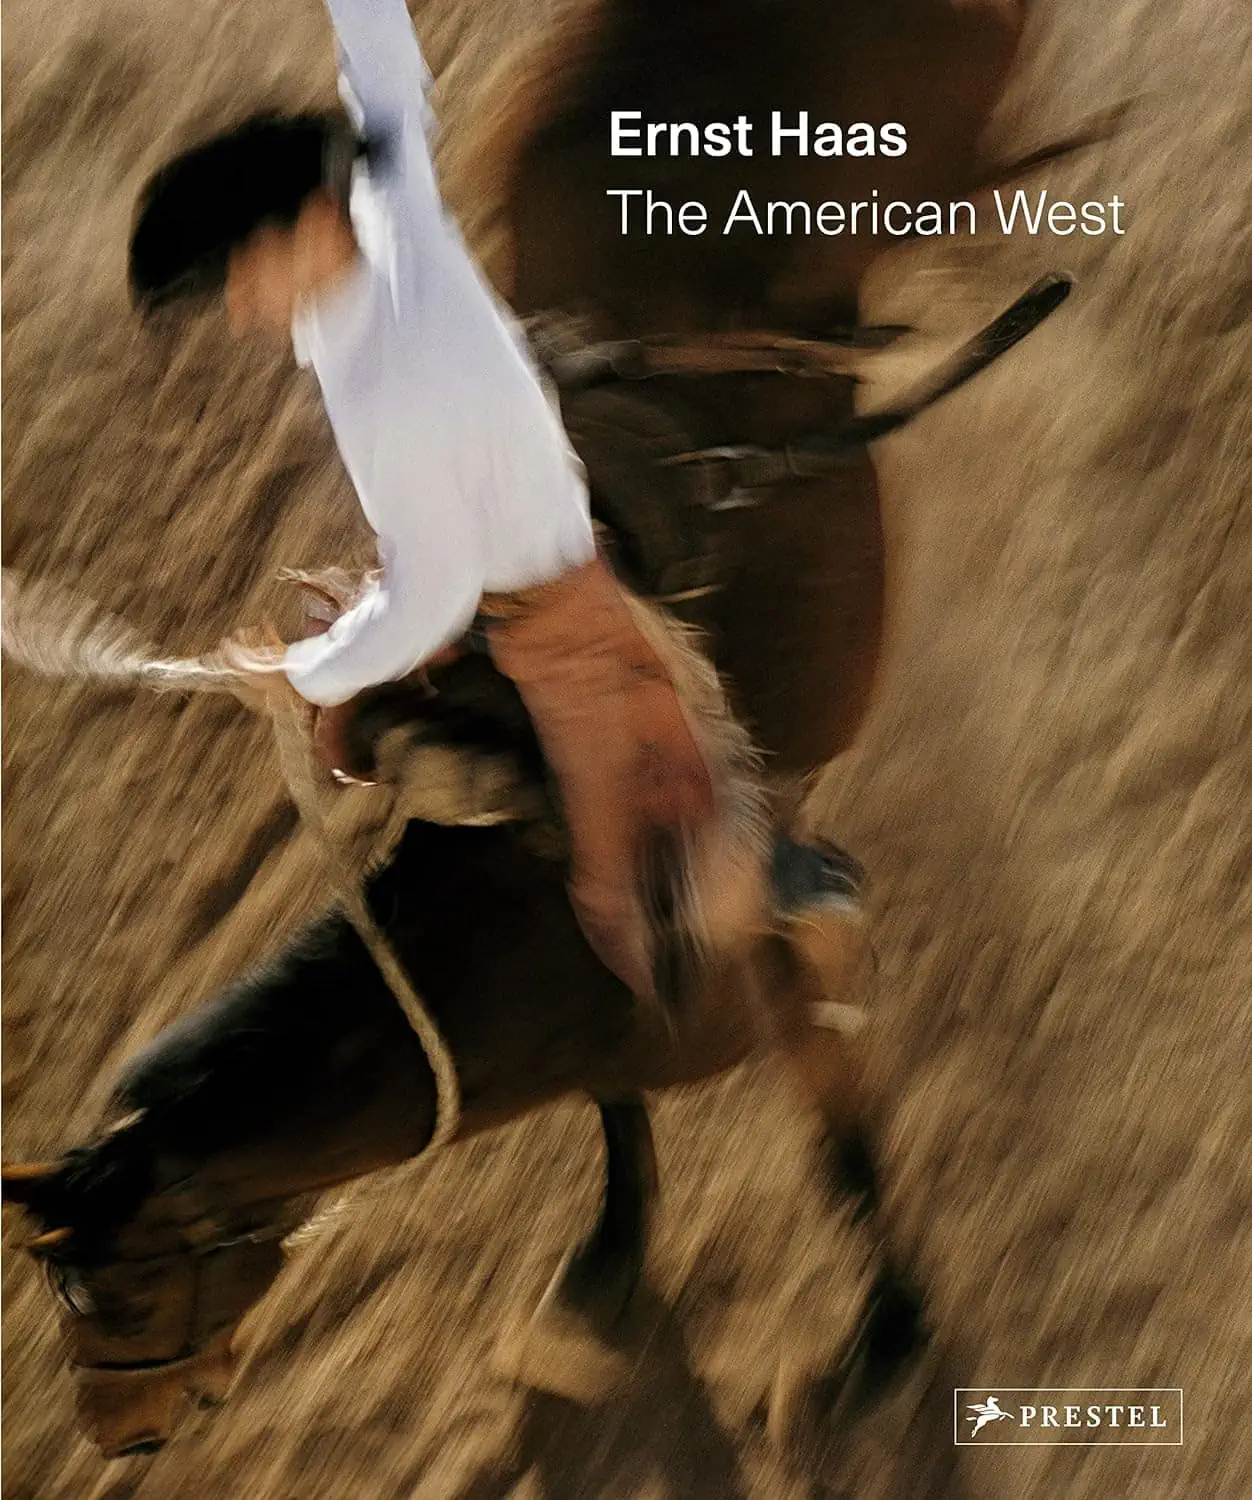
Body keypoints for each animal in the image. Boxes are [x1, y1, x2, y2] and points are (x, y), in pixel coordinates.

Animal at [4, 0, 1109, 1464]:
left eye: (119, 1296)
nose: (121, 1435)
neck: (516, 917)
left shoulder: (781, 968)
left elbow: (842, 1148)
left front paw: (886, 1333)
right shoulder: (617, 1026)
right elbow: (623, 1124)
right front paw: (602, 1273)